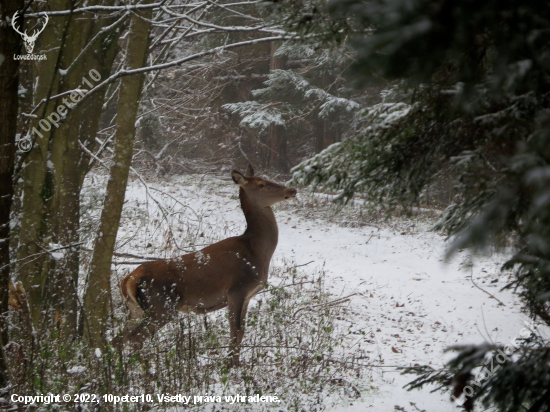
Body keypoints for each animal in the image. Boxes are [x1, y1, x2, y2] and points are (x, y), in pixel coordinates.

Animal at [112, 167, 300, 366]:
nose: (292, 190)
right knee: (135, 338)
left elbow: (241, 332)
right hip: (161, 306)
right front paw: (232, 366)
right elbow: (235, 332)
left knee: (118, 338)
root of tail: (128, 280)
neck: (256, 253)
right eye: (261, 184)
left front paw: (236, 363)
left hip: (136, 309)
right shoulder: (236, 290)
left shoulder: (248, 295)